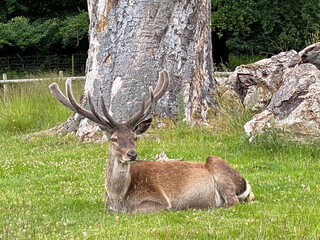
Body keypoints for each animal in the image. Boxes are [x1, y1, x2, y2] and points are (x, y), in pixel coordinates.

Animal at [48, 70, 254, 214]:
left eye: (135, 137)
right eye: (114, 139)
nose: (132, 154)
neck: (117, 198)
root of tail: (246, 185)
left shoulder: (159, 200)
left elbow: (136, 210)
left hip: (217, 166)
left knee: (232, 201)